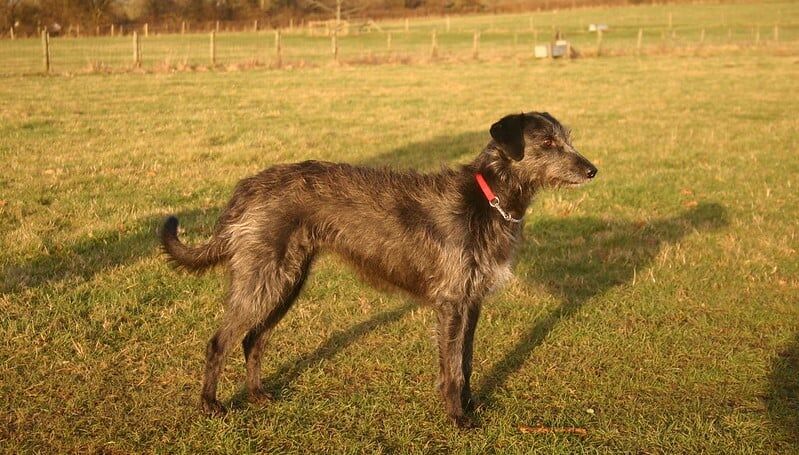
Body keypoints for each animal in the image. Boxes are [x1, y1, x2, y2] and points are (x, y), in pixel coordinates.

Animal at [159, 112, 596, 430]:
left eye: (567, 138)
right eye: (547, 143)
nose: (593, 170)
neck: (488, 199)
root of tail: (247, 187)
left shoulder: (472, 302)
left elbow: (467, 361)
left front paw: (471, 405)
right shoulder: (452, 303)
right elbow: (452, 368)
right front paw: (458, 417)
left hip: (286, 281)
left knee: (253, 339)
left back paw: (257, 394)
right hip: (263, 281)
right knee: (220, 341)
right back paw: (210, 404)